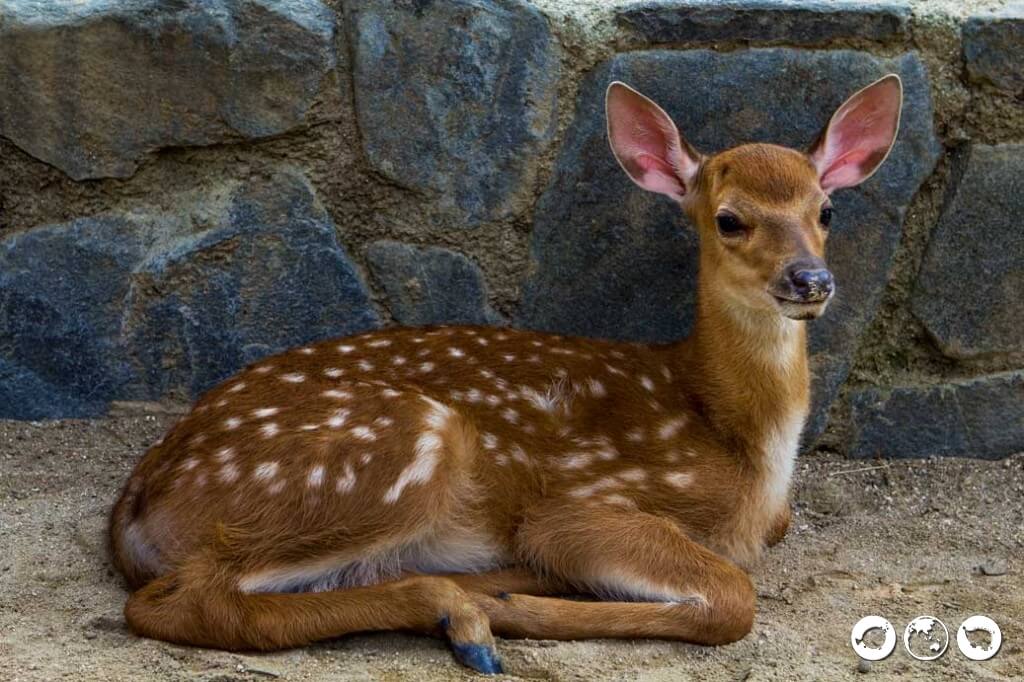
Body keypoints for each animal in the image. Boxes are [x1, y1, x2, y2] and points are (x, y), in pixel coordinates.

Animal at [108, 75, 901, 675]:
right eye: (730, 219)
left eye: (826, 210)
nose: (810, 280)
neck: (745, 450)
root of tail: (138, 500)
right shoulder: (580, 503)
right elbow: (735, 599)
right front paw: (515, 608)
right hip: (394, 448)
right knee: (190, 599)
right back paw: (467, 615)